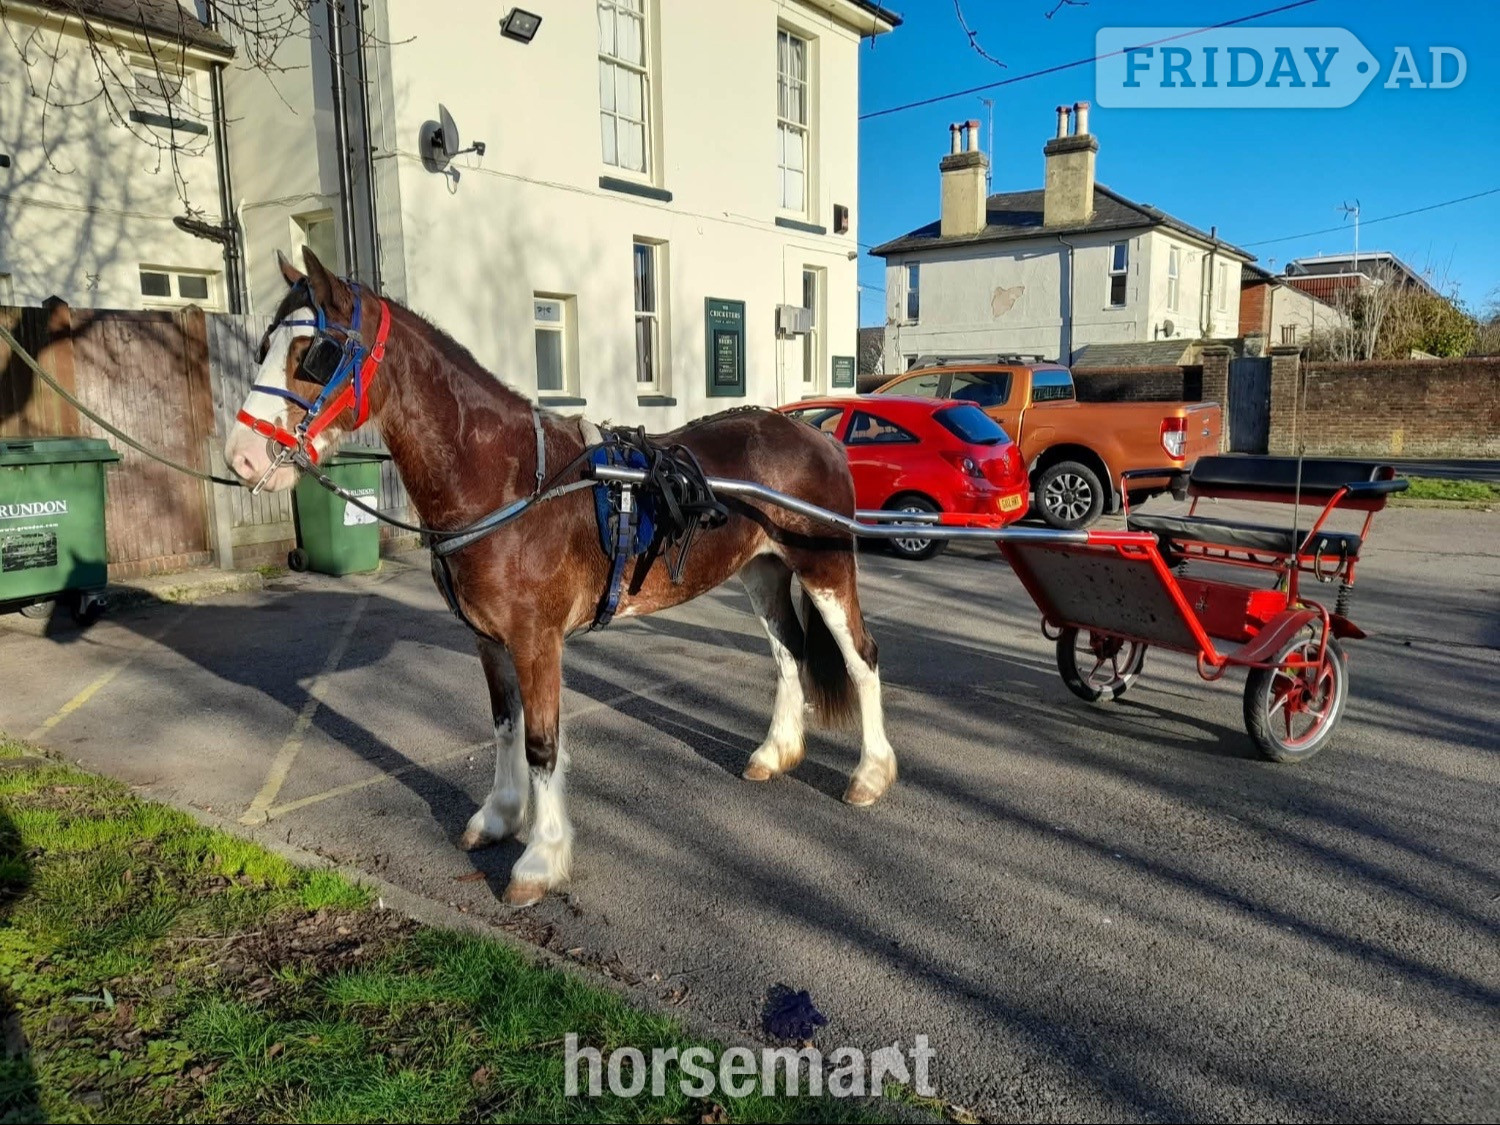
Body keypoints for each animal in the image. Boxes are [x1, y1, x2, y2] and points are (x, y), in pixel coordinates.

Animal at [223, 249, 897, 906]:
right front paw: (499, 816)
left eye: (316, 353)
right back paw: (775, 752)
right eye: (264, 345)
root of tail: (815, 432)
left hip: (824, 568)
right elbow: (504, 727)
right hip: (763, 571)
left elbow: (542, 744)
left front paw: (540, 859)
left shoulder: (535, 640)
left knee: (861, 656)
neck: (511, 480)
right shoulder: (489, 639)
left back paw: (870, 773)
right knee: (788, 655)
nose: (242, 458)